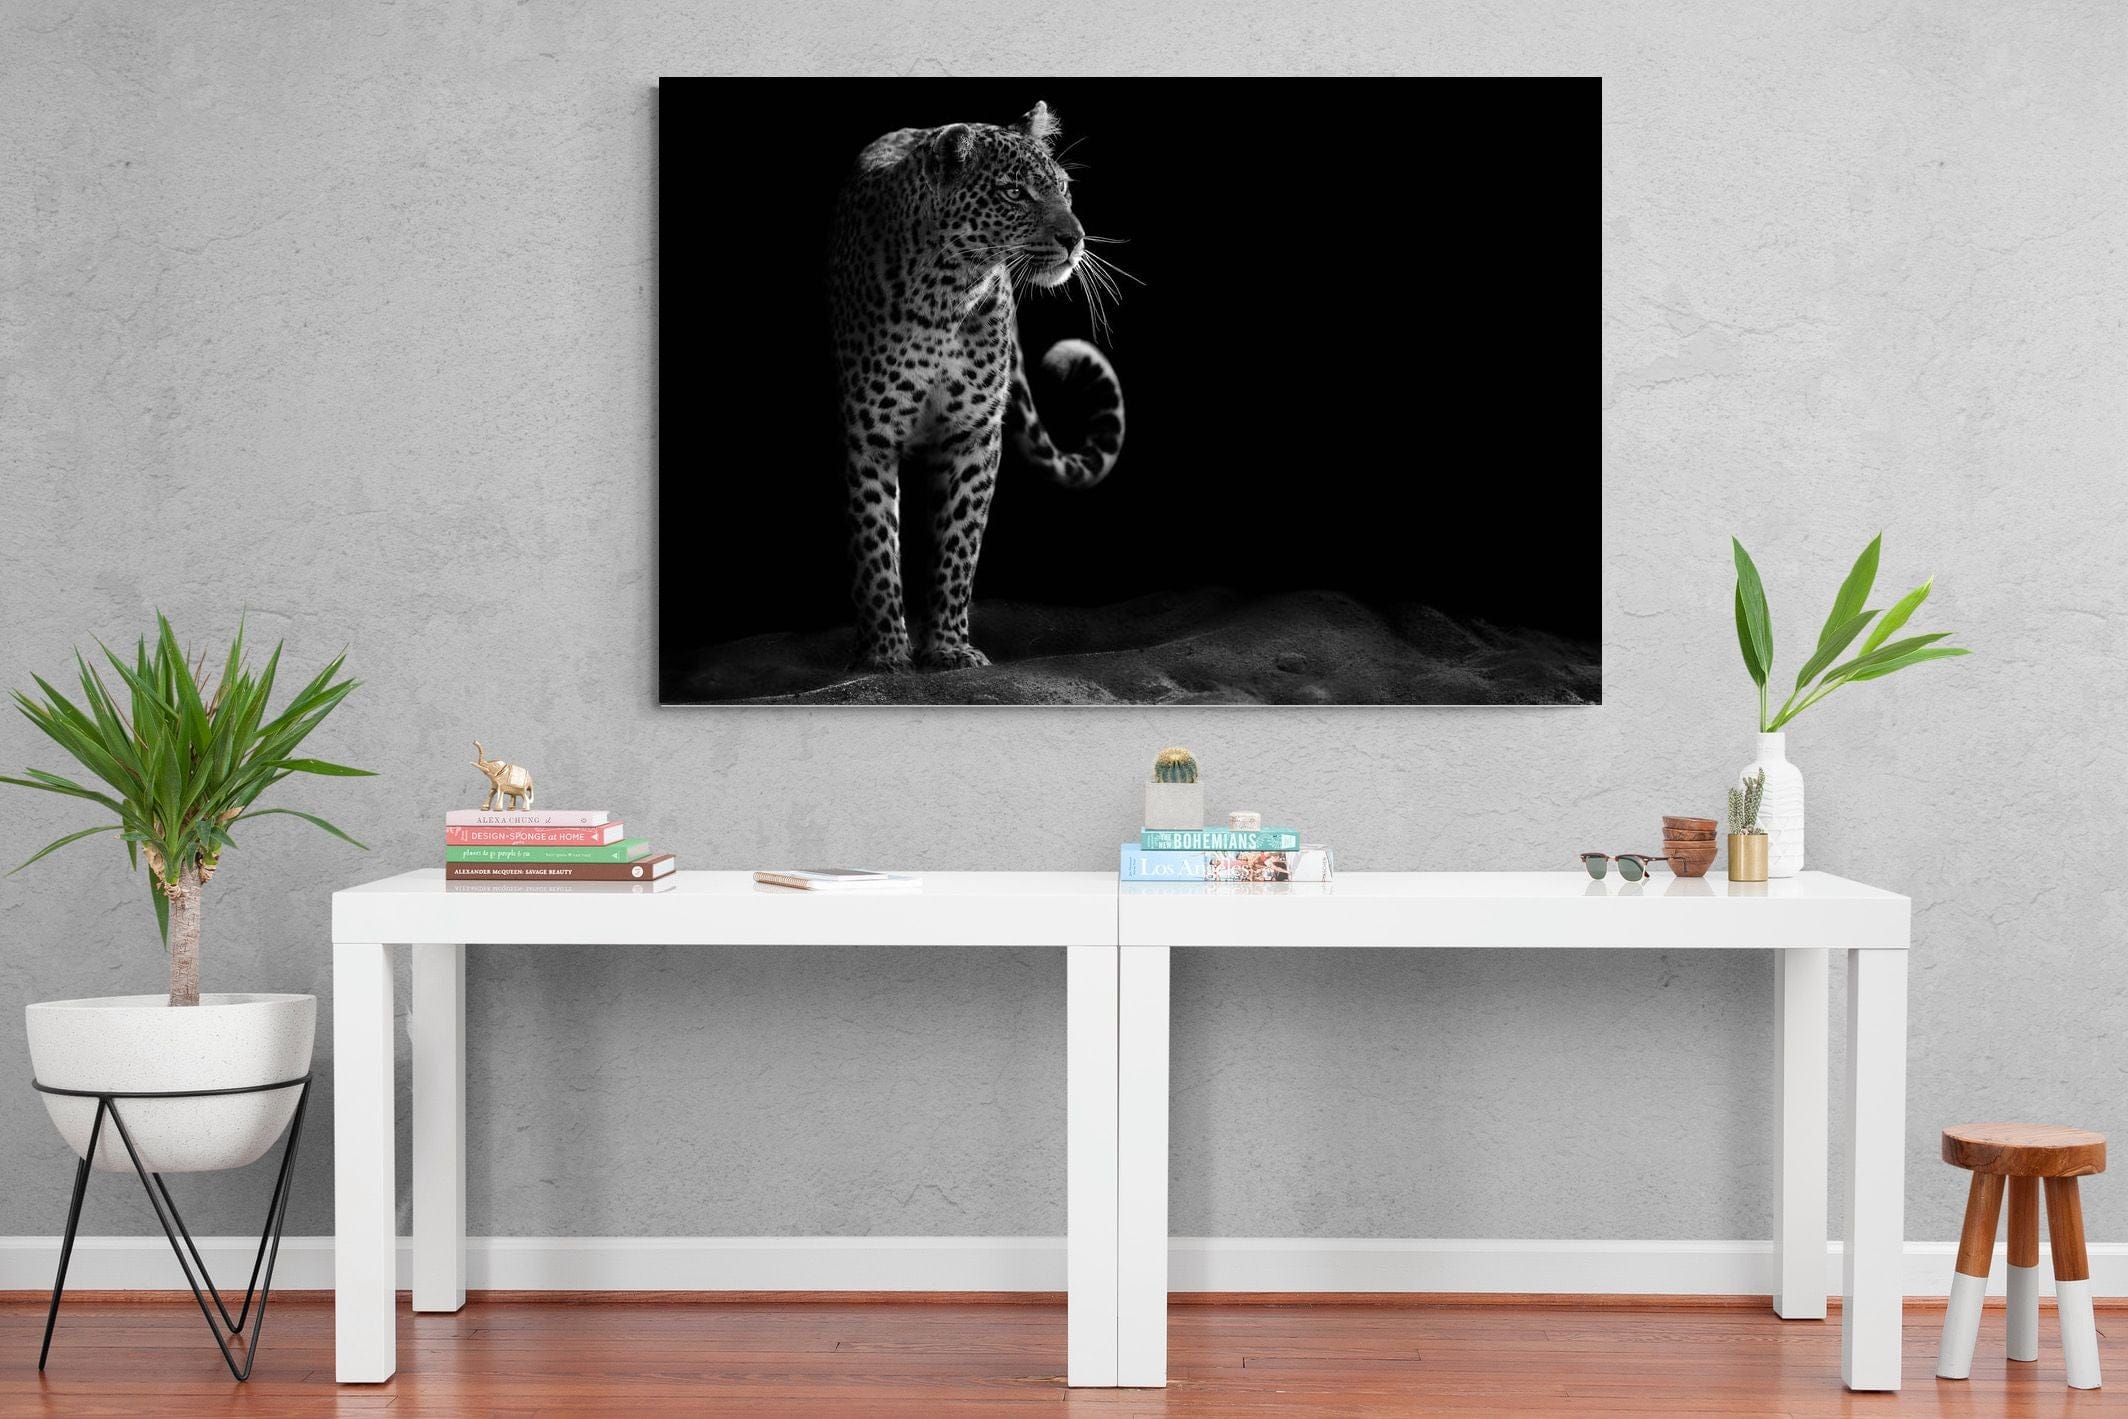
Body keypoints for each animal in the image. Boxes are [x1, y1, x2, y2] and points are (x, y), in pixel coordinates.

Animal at [828, 100, 1126, 672]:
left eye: (1063, 188)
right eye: (1014, 192)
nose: (1075, 239)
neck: (946, 293)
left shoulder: (973, 435)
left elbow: (958, 545)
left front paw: (947, 646)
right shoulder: (869, 433)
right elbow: (875, 545)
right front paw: (884, 653)